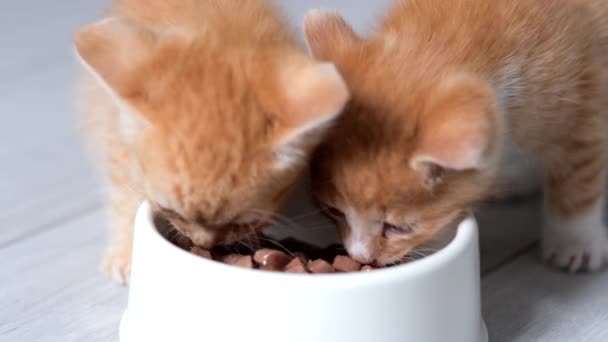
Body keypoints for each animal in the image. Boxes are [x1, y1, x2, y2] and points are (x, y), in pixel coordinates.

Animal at [74, 0, 350, 284]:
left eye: (242, 223)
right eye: (170, 212)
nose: (203, 244)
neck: (218, 29)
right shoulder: (114, 136)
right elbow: (124, 196)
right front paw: (128, 253)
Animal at [308, 0, 608, 272]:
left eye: (398, 227)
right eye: (334, 210)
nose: (360, 257)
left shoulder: (587, 96)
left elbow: (578, 178)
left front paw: (575, 240)